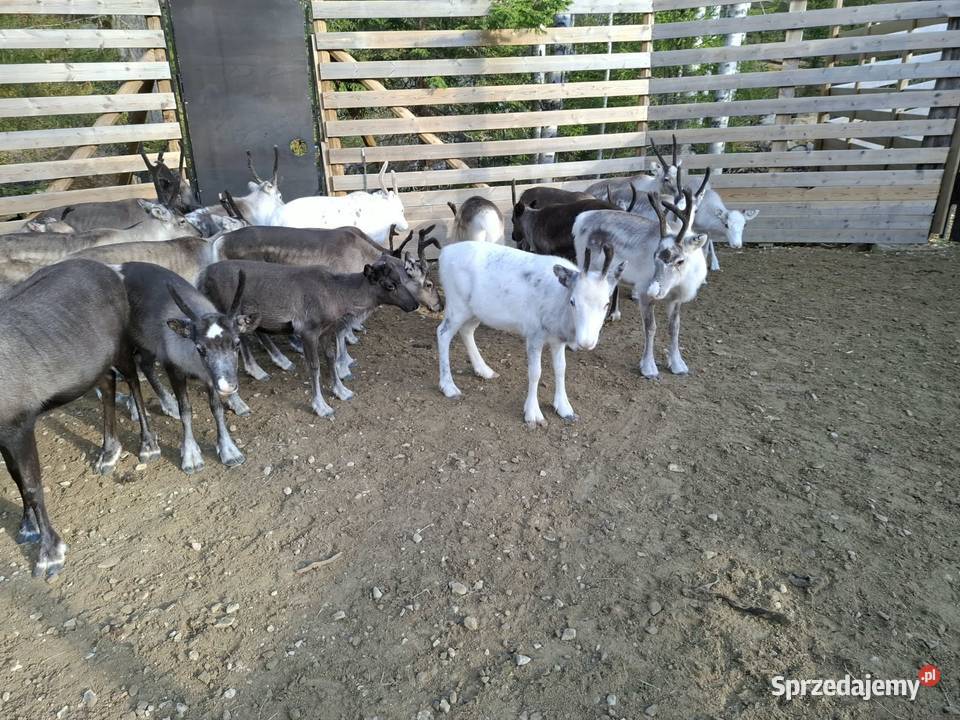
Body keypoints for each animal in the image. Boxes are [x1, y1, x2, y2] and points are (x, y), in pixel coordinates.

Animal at [1, 259, 156, 577]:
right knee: (107, 382)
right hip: (95, 363)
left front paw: (49, 553)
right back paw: (108, 451)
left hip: (121, 344)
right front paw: (26, 526)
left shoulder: (18, 424)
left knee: (132, 379)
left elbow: (31, 484)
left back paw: (147, 443)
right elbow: (16, 477)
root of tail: (112, 271)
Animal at [436, 240, 623, 426]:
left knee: (466, 330)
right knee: (442, 333)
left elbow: (561, 368)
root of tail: (444, 253)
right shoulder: (534, 334)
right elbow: (535, 373)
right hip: (456, 305)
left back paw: (484, 370)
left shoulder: (558, 340)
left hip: (475, 311)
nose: (586, 342)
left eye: (607, 303)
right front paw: (533, 414)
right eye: (573, 301)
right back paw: (449, 386)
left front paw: (565, 408)